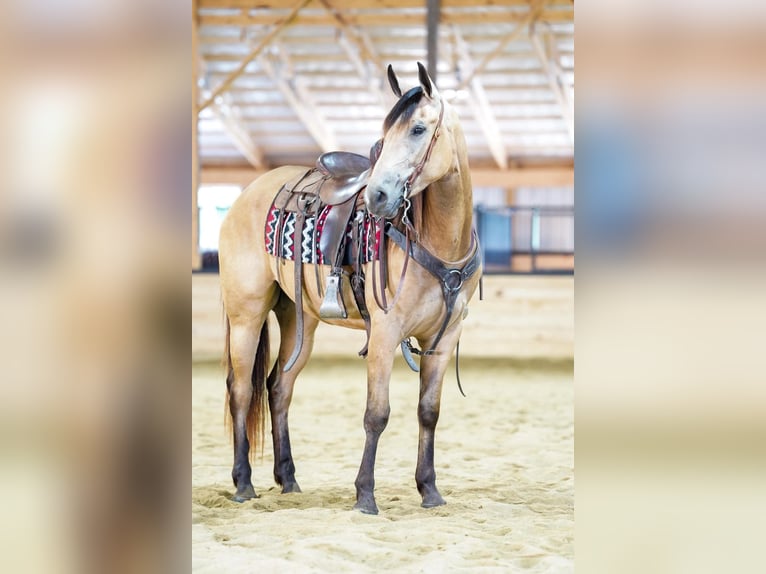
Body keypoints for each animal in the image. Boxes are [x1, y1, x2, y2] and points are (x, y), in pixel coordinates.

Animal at [218, 62, 482, 515]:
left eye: (418, 129)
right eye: (385, 133)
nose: (378, 195)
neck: (437, 239)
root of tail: (244, 197)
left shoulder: (444, 338)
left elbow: (428, 412)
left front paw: (429, 490)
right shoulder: (385, 334)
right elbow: (377, 414)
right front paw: (365, 495)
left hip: (299, 320)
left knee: (278, 388)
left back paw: (288, 479)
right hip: (246, 316)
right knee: (240, 390)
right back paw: (243, 483)